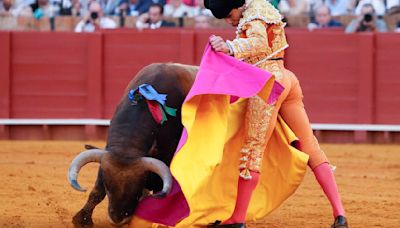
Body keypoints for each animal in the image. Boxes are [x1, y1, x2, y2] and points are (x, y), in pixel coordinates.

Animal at [68, 63, 198, 227]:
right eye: (108, 187)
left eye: (137, 187)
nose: (118, 219)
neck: (128, 148)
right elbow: (97, 191)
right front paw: (82, 219)